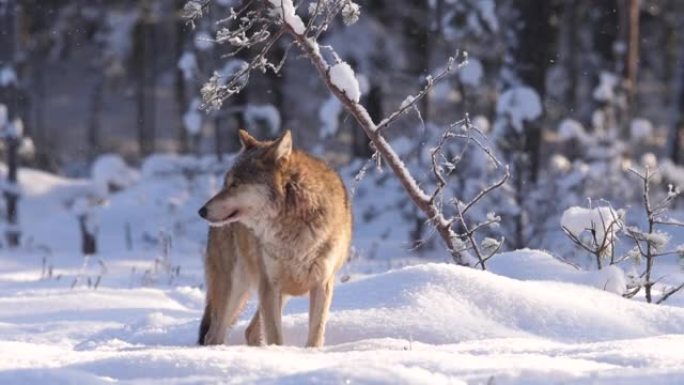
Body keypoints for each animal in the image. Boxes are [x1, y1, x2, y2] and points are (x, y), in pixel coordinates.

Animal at [195, 130, 350, 348]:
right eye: (225, 184)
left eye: (235, 184)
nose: (201, 211)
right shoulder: (269, 286)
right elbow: (276, 337)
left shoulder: (322, 284)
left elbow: (315, 335)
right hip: (235, 288)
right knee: (213, 335)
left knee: (250, 331)